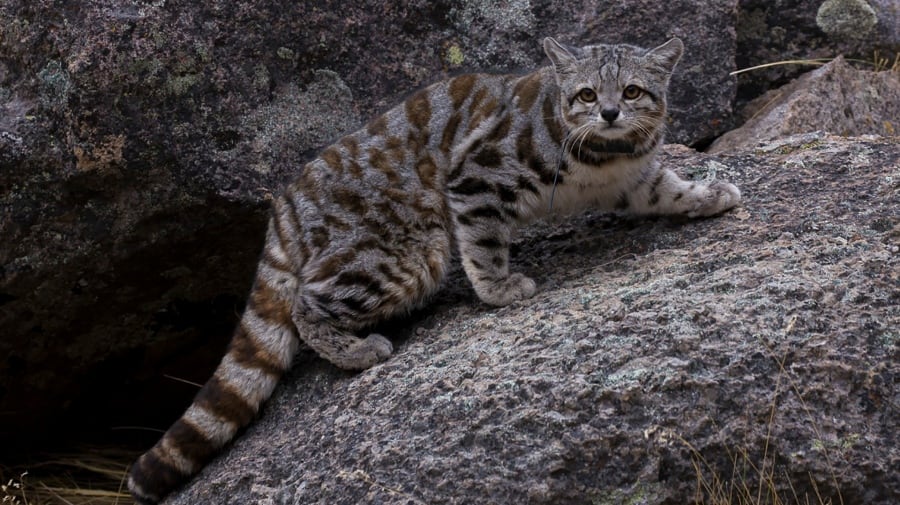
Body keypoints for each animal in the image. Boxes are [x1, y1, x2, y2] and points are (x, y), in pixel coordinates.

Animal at [130, 36, 740, 504]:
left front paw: (708, 194)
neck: (604, 154)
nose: (610, 113)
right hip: (404, 252)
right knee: (306, 303)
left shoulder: (635, 180)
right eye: (587, 94)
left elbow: (668, 189)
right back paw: (356, 350)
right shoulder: (476, 176)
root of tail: (284, 208)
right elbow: (482, 244)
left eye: (632, 91)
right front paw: (499, 288)